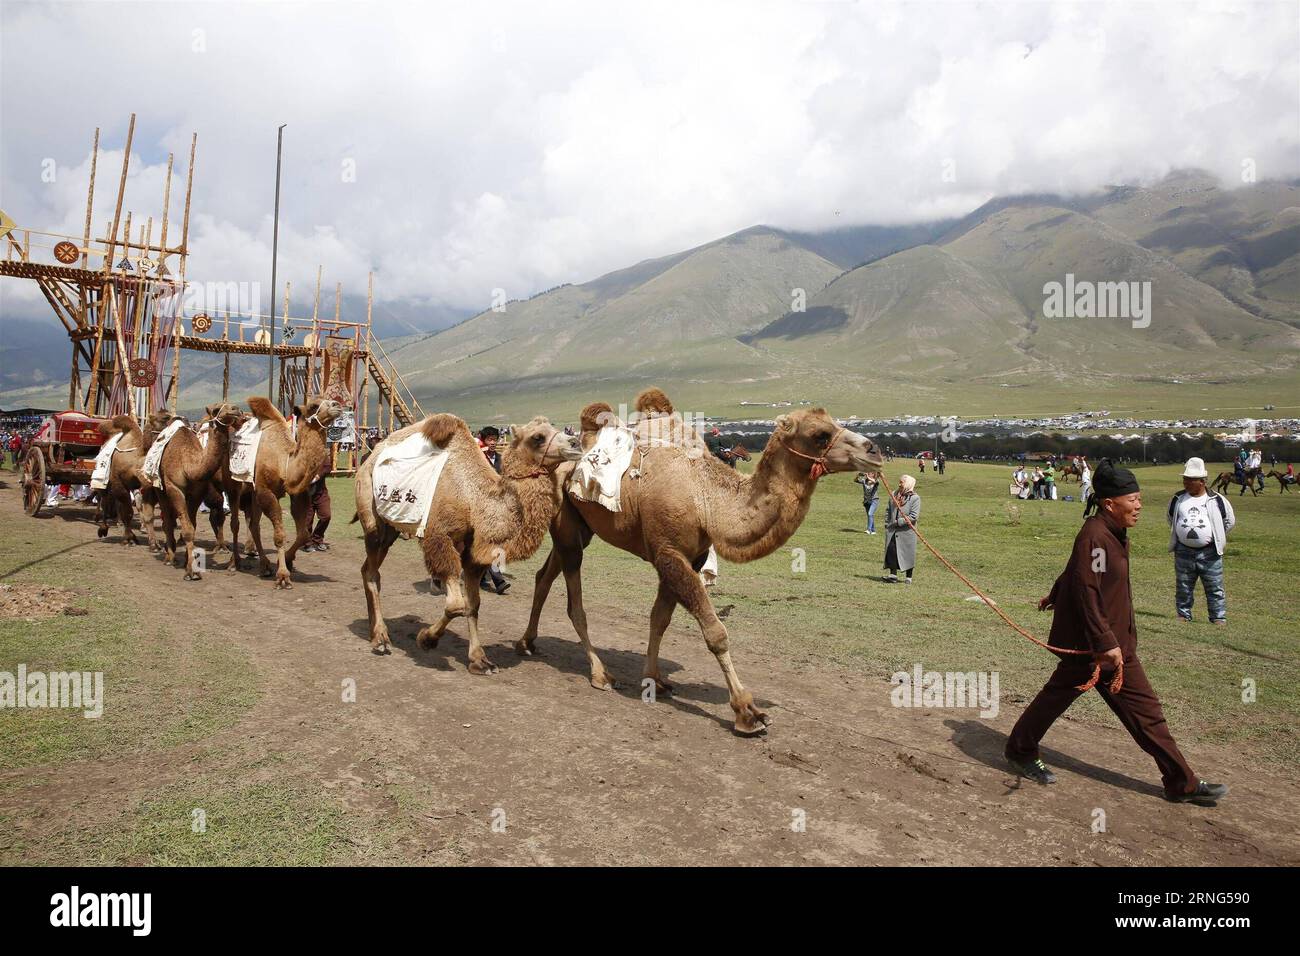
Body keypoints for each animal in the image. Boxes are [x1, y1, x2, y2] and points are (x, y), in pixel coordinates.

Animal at [154, 403, 241, 580]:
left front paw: (189, 563)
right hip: (161, 489)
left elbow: (192, 527)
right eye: (216, 410)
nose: (235, 409)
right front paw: (191, 572)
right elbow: (187, 530)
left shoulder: (197, 493)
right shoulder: (174, 488)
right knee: (167, 520)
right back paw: (169, 557)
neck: (189, 465)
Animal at [236, 395, 343, 587]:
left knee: (253, 524)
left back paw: (264, 566)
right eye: (314, 405)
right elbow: (279, 535)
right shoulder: (266, 492)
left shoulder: (295, 494)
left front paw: (286, 560)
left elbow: (303, 534)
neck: (283, 461)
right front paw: (283, 576)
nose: (337, 405)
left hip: (252, 492)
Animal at [353, 416, 582, 671]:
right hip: (372, 515)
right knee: (371, 570)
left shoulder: (474, 555)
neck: (473, 500)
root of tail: (370, 458)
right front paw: (427, 639)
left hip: (391, 529)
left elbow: (473, 604)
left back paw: (375, 632)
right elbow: (456, 605)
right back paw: (381, 639)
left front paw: (479, 660)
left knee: (369, 570)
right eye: (538, 437)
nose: (576, 443)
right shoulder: (439, 539)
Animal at [522, 385, 889, 738]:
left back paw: (527, 642)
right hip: (568, 529)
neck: (706, 498)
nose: (874, 451)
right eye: (820, 434)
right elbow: (715, 632)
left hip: (578, 527)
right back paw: (599, 674)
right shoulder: (669, 552)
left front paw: (654, 679)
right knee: (575, 603)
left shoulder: (689, 556)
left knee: (544, 575)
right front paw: (747, 713)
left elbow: (659, 619)